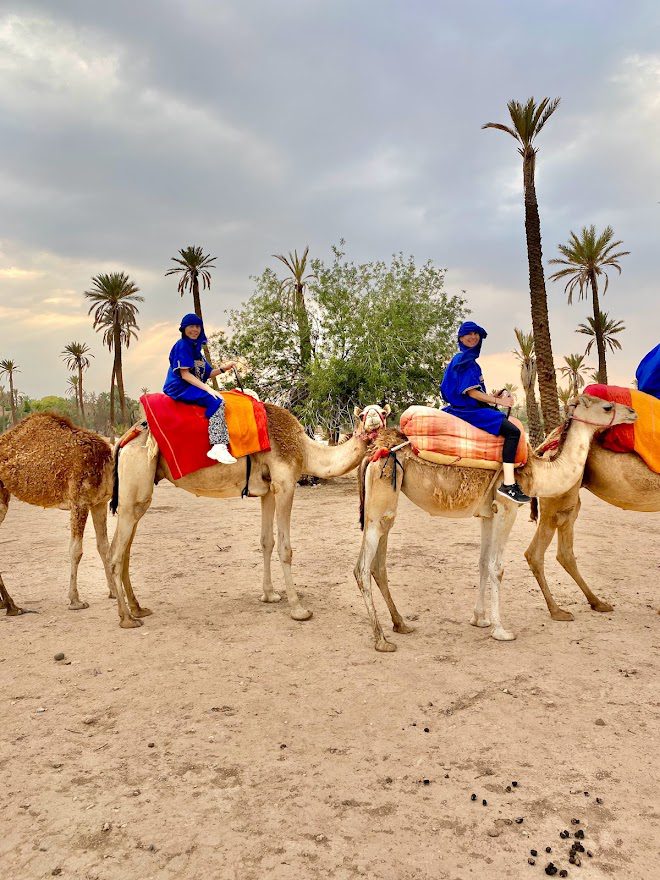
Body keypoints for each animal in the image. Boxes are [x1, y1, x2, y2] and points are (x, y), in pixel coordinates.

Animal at [0, 410, 114, 612]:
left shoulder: (99, 503)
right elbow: (76, 550)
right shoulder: (79, 501)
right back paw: (12, 606)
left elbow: (103, 547)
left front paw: (114, 592)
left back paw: (7, 604)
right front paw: (75, 600)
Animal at [105, 402, 390, 628]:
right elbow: (285, 548)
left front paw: (270, 595)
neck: (304, 449)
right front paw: (298, 609)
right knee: (115, 553)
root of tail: (124, 438)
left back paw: (138, 608)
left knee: (125, 550)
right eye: (362, 415)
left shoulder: (268, 491)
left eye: (383, 412)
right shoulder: (285, 483)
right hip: (135, 487)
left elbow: (267, 542)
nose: (374, 420)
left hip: (139, 493)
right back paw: (126, 618)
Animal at [354, 396, 636, 648]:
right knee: (362, 568)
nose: (632, 412)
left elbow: (482, 563)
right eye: (607, 406)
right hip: (381, 497)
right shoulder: (506, 508)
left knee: (379, 564)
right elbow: (497, 566)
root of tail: (374, 450)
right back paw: (381, 639)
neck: (537, 472)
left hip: (386, 503)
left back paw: (401, 624)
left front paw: (480, 619)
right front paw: (501, 630)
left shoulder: (488, 514)